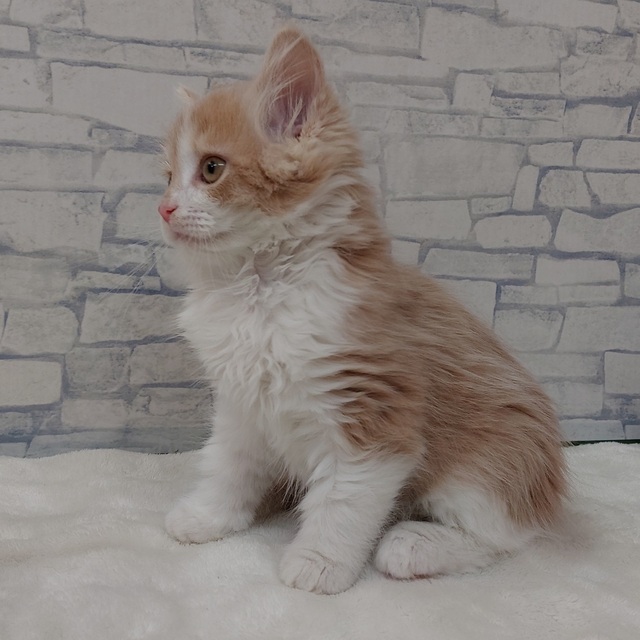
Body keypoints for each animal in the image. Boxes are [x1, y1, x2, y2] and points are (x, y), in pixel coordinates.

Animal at [159, 25, 566, 595]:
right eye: (168, 176)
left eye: (211, 169)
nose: (165, 208)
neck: (259, 290)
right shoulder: (241, 405)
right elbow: (229, 466)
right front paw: (208, 517)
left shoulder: (372, 411)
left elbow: (344, 502)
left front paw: (319, 563)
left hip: (493, 460)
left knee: (505, 538)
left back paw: (414, 545)